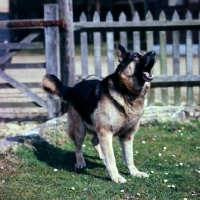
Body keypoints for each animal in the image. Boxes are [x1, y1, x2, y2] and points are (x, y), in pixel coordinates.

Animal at [41, 44, 156, 183]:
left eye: (146, 52)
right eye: (136, 56)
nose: (153, 52)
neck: (128, 93)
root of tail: (73, 88)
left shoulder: (126, 137)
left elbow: (129, 158)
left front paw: (135, 172)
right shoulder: (106, 132)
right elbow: (112, 158)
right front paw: (116, 177)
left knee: (94, 142)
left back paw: (101, 157)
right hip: (80, 130)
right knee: (78, 147)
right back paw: (80, 162)